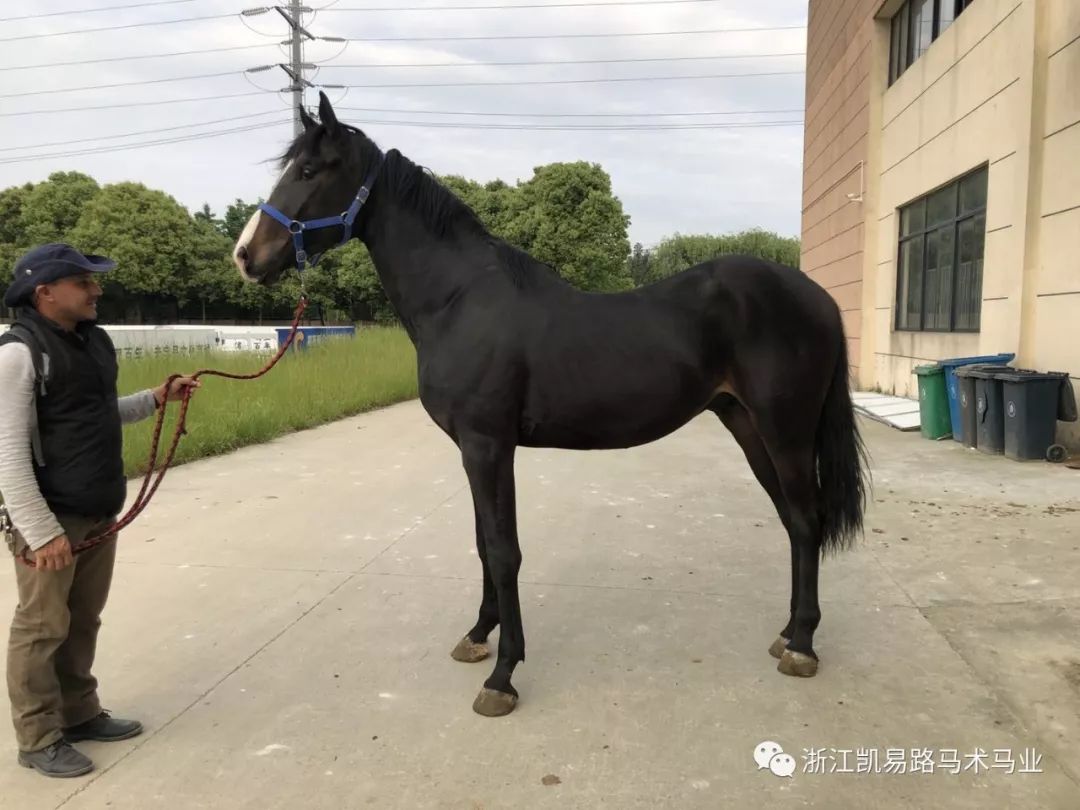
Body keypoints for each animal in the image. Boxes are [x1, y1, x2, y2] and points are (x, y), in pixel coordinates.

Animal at [232, 91, 869, 718]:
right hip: (748, 427)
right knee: (795, 522)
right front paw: (477, 636)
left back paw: (803, 645)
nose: (245, 255)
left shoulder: (489, 445)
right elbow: (482, 545)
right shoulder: (473, 449)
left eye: (310, 170)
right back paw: (787, 634)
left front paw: (502, 676)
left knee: (806, 520)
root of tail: (817, 297)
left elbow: (503, 551)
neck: (460, 300)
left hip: (785, 431)